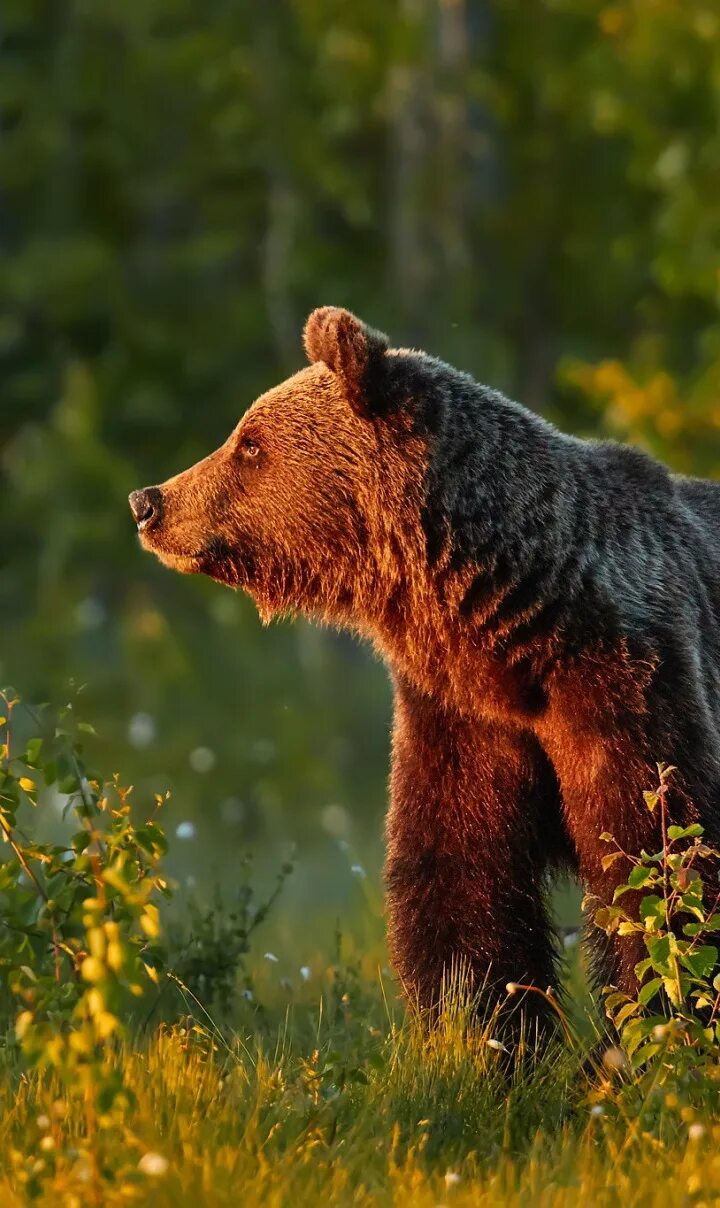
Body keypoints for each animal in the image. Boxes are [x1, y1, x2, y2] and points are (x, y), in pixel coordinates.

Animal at [129, 306, 720, 1034]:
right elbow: (459, 875)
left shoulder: (627, 679)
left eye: (249, 444)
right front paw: (480, 1027)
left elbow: (659, 859)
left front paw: (656, 1022)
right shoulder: (459, 712)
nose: (148, 502)